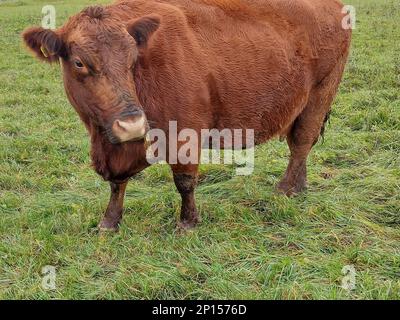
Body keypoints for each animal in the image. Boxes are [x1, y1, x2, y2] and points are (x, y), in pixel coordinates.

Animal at [23, 0, 352, 230]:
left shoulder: (185, 133)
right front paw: (110, 221)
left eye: (132, 59)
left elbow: (184, 181)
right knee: (301, 146)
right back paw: (299, 187)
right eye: (79, 62)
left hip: (321, 93)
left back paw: (284, 190)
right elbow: (117, 183)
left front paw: (188, 222)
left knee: (301, 143)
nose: (132, 124)